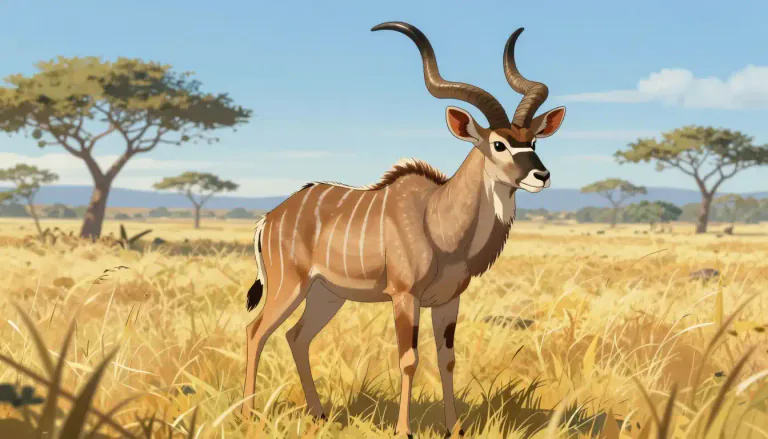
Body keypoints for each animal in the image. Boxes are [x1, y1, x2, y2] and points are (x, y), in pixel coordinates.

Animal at [241, 21, 566, 437]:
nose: (541, 175)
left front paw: (455, 428)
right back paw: (247, 415)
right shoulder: (404, 296)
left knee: (296, 337)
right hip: (289, 287)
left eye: (534, 140)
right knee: (257, 331)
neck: (437, 219)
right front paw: (403, 429)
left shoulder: (447, 301)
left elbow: (447, 359)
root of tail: (270, 218)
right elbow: (408, 358)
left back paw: (319, 414)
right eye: (498, 144)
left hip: (325, 296)